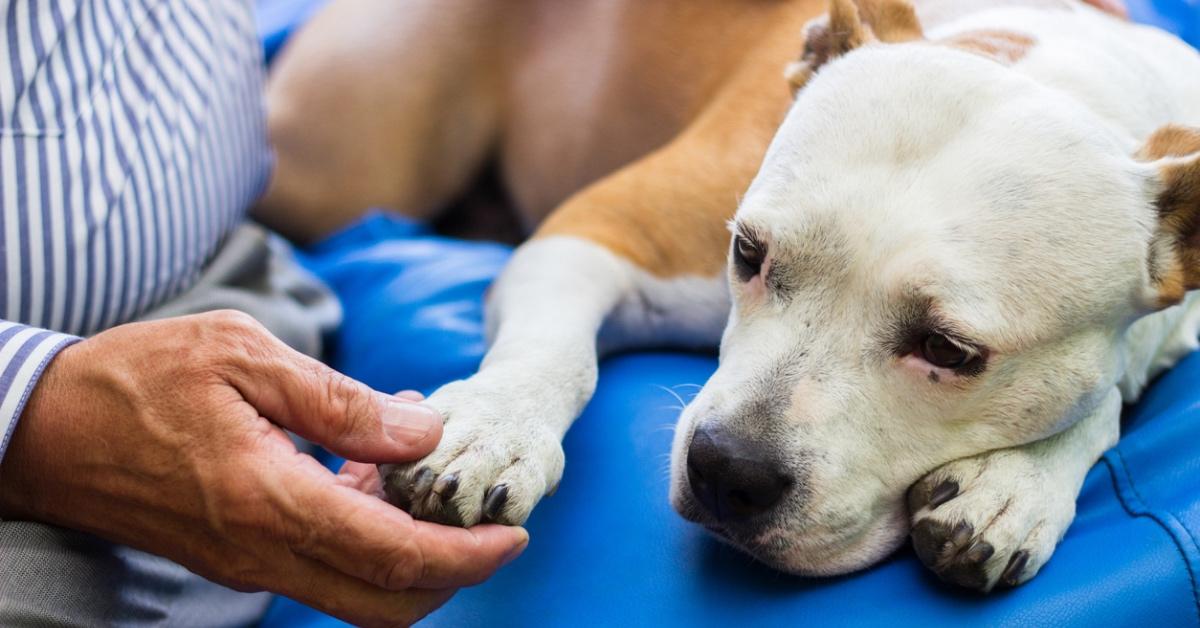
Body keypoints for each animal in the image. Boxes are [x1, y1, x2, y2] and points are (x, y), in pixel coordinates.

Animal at [265, 0, 1200, 593]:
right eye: (748, 252)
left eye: (949, 350)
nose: (727, 472)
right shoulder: (601, 228)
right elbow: (554, 352)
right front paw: (491, 430)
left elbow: (1108, 397)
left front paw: (1018, 486)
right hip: (348, 164)